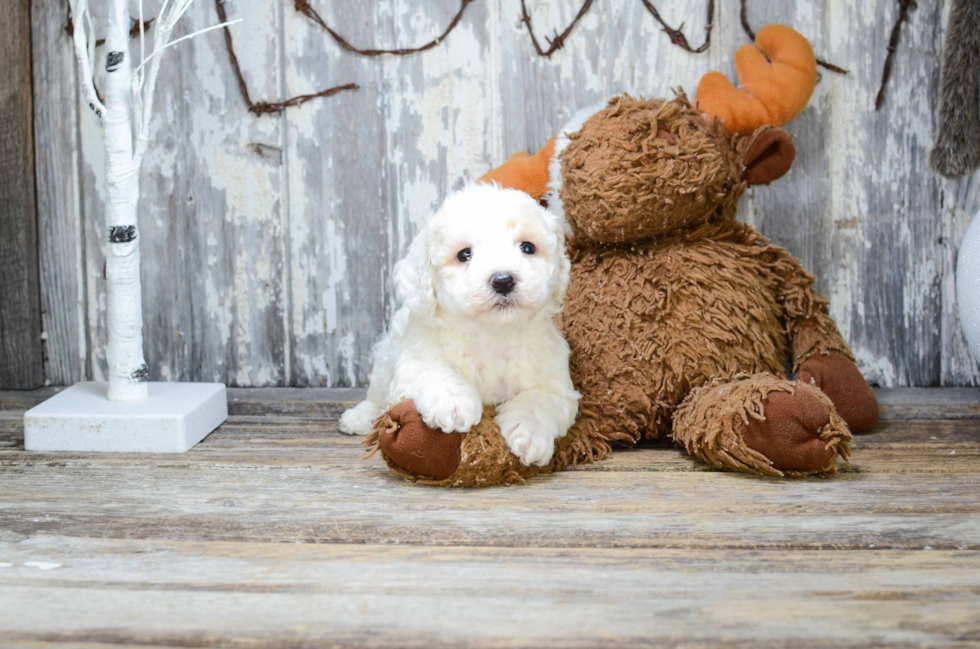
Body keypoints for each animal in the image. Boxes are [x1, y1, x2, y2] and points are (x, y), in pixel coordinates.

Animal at [340, 182, 580, 466]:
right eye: (464, 254)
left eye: (528, 248)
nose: (503, 280)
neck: (492, 334)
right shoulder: (415, 361)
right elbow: (434, 373)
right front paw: (453, 403)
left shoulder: (556, 384)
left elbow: (542, 399)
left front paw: (528, 430)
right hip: (385, 358)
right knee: (375, 395)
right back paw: (359, 417)